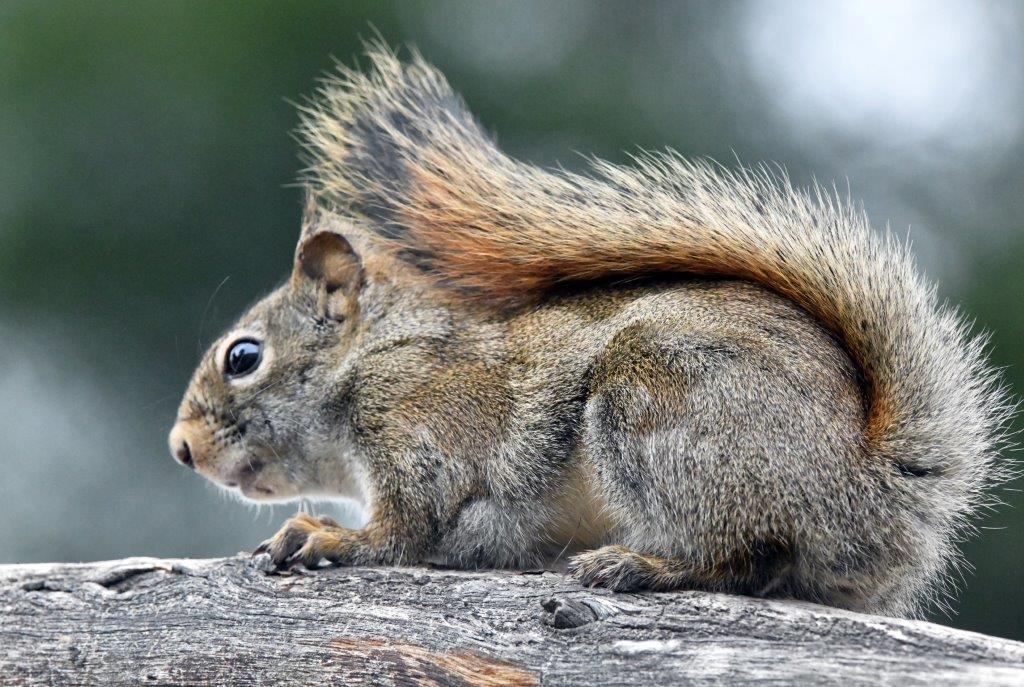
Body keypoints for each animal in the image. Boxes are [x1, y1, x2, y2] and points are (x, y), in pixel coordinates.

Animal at [168, 45, 1012, 618]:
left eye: (243, 357)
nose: (181, 448)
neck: (373, 357)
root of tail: (872, 485)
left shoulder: (422, 423)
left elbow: (405, 531)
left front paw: (326, 538)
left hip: (656, 401)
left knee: (746, 556)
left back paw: (641, 567)